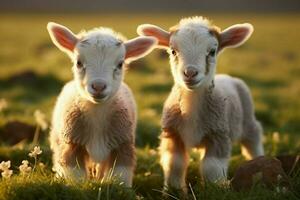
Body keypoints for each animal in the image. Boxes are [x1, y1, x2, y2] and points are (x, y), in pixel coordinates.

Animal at [47, 21, 157, 186]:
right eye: (78, 62)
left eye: (120, 64)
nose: (98, 86)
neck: (97, 113)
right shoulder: (73, 144)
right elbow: (75, 176)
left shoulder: (122, 145)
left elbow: (120, 177)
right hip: (58, 138)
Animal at [137, 16, 264, 190]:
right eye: (173, 51)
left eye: (212, 52)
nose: (190, 73)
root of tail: (227, 76)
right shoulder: (173, 134)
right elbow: (174, 164)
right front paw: (174, 190)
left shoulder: (218, 134)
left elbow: (211, 167)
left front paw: (215, 189)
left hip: (247, 117)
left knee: (253, 138)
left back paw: (260, 158)